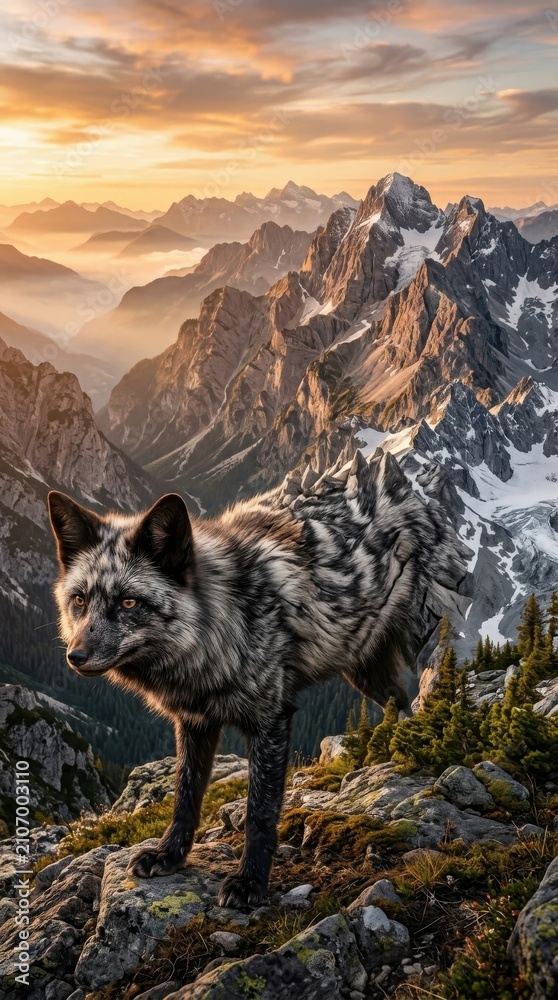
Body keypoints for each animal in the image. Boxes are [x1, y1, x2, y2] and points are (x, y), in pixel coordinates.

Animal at [48, 447, 469, 908]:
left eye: (128, 602)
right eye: (79, 600)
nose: (75, 657)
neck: (223, 623)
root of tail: (407, 490)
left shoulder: (272, 720)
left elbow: (260, 812)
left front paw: (250, 880)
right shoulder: (195, 721)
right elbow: (185, 795)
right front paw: (170, 855)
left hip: (427, 649)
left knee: (431, 694)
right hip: (365, 672)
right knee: (400, 703)